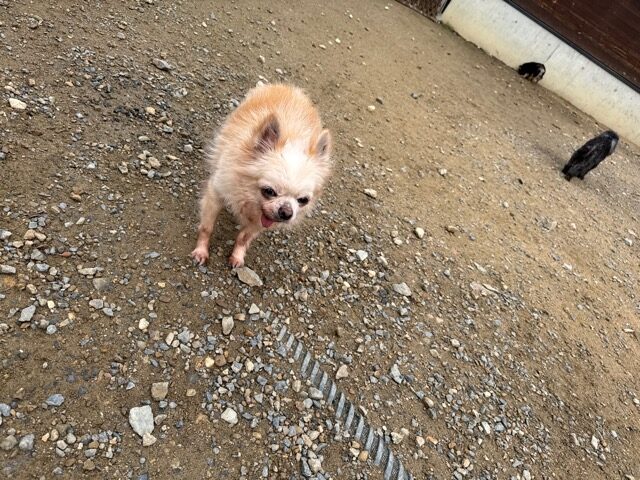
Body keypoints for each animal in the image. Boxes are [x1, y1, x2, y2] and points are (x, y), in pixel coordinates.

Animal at [191, 83, 332, 268]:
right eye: (269, 191)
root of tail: (290, 87)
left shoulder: (262, 220)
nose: (286, 212)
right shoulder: (215, 195)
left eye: (303, 200)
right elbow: (207, 228)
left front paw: (237, 256)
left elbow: (244, 238)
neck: (249, 197)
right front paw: (201, 251)